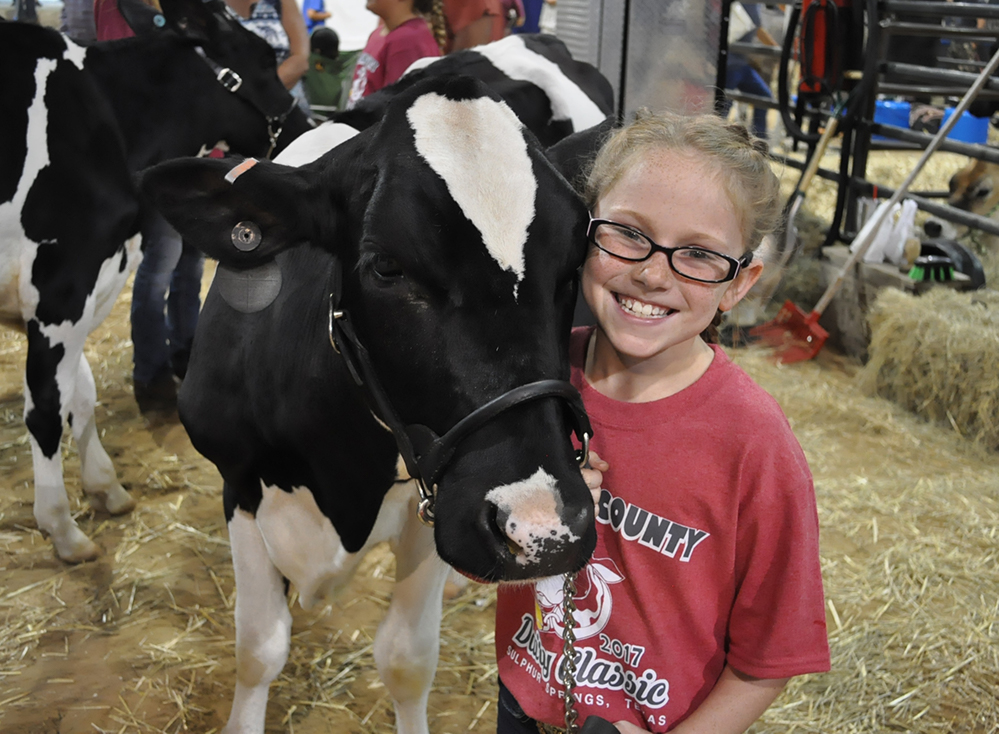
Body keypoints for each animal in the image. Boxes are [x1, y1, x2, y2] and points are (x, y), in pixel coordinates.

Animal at [0, 0, 310, 564]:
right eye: (263, 56)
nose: (303, 126)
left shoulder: (89, 289)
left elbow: (81, 393)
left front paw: (106, 487)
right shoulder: (61, 288)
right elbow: (47, 409)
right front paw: (62, 528)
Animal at [139, 76, 592, 734]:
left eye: (576, 261)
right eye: (385, 265)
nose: (542, 529)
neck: (337, 474)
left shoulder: (431, 502)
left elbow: (406, 659)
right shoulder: (238, 480)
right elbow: (258, 649)